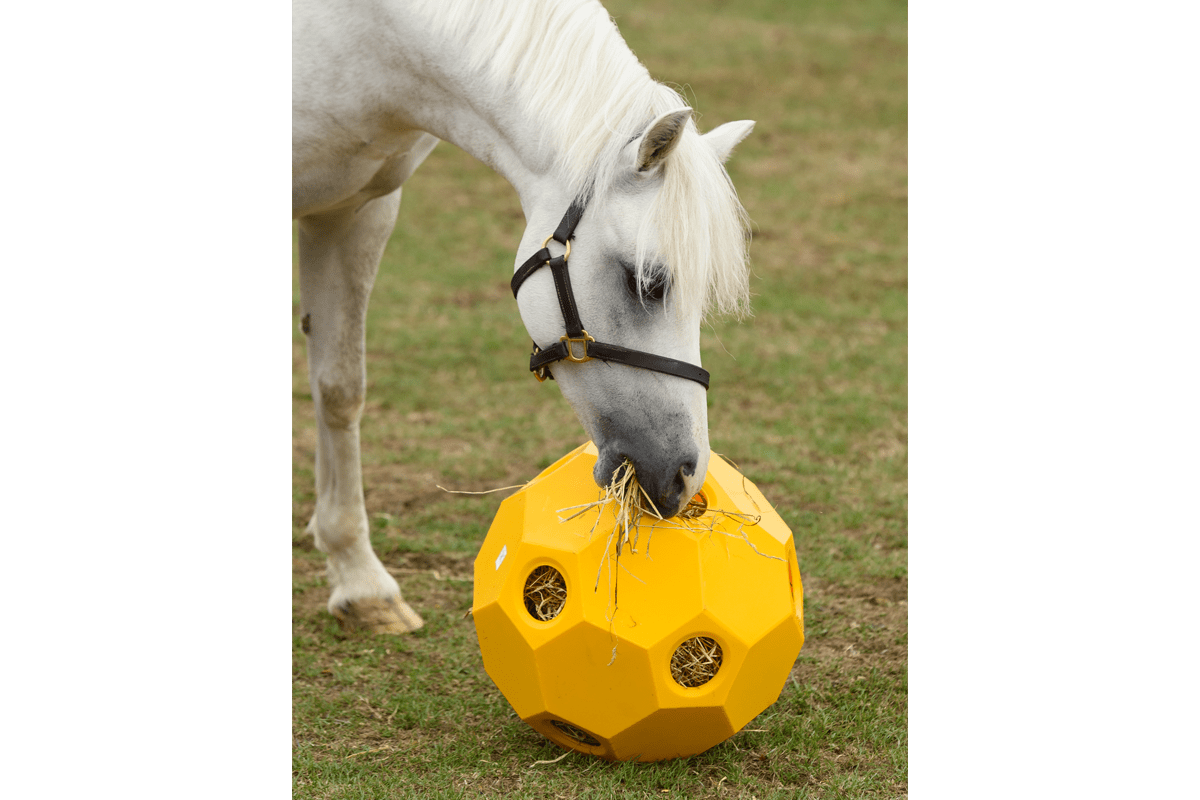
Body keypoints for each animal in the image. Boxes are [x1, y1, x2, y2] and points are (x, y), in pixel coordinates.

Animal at [292, 0, 748, 633]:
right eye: (649, 283)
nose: (686, 474)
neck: (368, 36)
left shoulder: (356, 211)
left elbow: (338, 389)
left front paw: (361, 583)